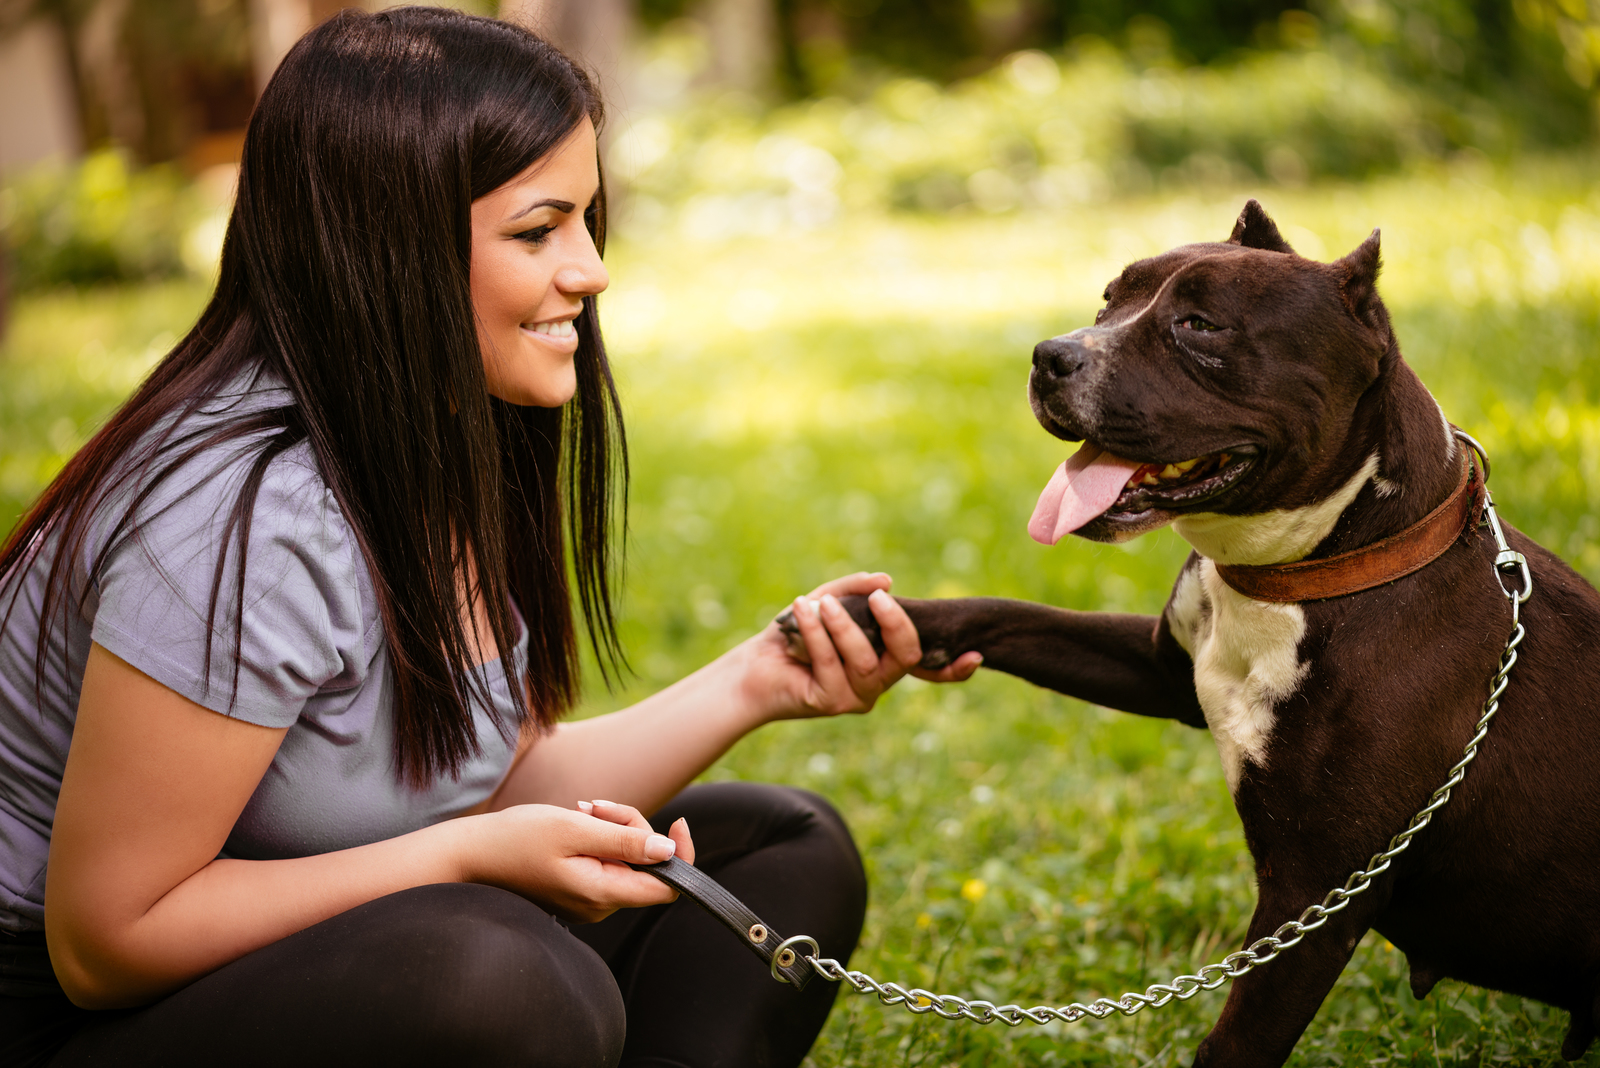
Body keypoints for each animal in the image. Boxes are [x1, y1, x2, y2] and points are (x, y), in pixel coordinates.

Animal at [780, 202, 1600, 1068]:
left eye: (1200, 325)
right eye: (1109, 300)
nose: (1050, 354)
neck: (1298, 575)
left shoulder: (1316, 899)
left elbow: (1234, 1043)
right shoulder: (1164, 671)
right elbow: (1012, 613)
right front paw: (865, 622)